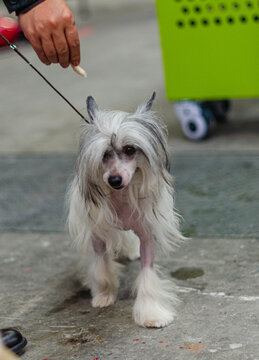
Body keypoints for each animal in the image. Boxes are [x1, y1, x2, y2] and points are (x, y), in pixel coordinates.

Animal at [67, 93, 185, 330]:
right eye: (104, 154)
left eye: (130, 149)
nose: (114, 180)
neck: (121, 196)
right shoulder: (98, 235)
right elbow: (101, 264)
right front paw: (104, 294)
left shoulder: (147, 235)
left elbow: (147, 273)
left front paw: (151, 314)